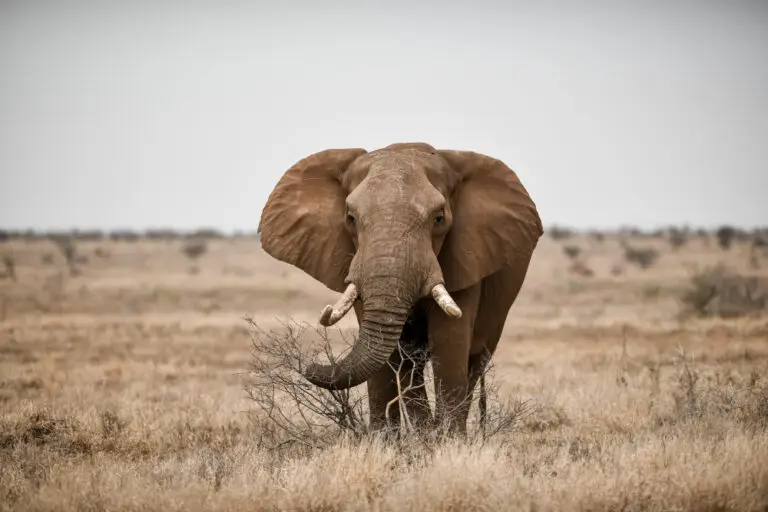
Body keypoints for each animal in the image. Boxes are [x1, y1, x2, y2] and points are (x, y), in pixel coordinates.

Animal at [258, 142, 543, 436]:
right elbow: (391, 353)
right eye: (350, 218)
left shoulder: (466, 256)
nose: (308, 364)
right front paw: (387, 442)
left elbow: (449, 341)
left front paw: (447, 441)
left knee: (475, 361)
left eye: (439, 218)